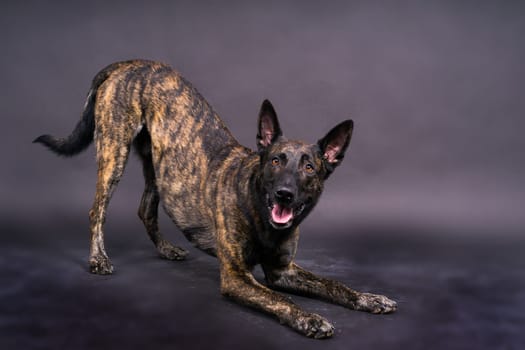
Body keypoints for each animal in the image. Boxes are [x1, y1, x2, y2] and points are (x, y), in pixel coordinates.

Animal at [34, 60, 396, 340]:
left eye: (309, 167)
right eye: (275, 160)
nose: (285, 194)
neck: (258, 207)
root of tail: (130, 63)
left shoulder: (283, 271)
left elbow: (333, 284)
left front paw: (367, 298)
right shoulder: (236, 277)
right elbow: (281, 300)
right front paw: (310, 318)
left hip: (160, 167)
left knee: (145, 209)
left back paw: (166, 249)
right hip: (114, 151)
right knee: (97, 209)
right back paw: (98, 259)